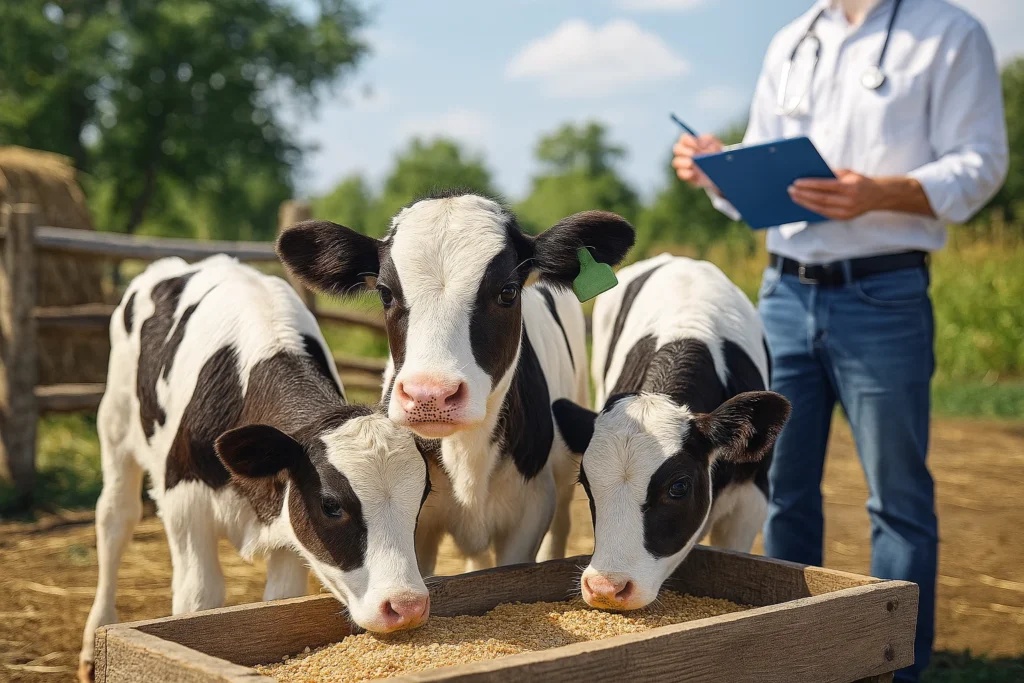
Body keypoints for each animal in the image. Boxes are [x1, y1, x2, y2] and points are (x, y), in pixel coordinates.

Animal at [79, 255, 431, 682]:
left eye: (423, 496)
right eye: (331, 505)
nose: (407, 606)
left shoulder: (288, 526)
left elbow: (280, 598)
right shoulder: (186, 507)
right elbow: (199, 600)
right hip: (115, 423)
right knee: (116, 518)